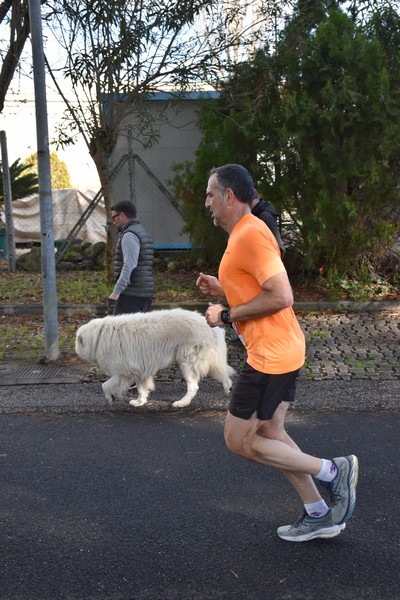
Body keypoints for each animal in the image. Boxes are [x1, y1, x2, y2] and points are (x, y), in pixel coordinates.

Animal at [75, 310, 234, 408]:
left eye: (77, 342)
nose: (74, 347)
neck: (98, 336)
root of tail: (214, 328)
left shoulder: (126, 371)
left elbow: (105, 385)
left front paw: (110, 397)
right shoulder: (139, 370)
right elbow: (142, 388)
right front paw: (140, 402)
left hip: (188, 363)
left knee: (194, 386)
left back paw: (182, 403)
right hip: (207, 362)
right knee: (224, 375)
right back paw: (228, 390)